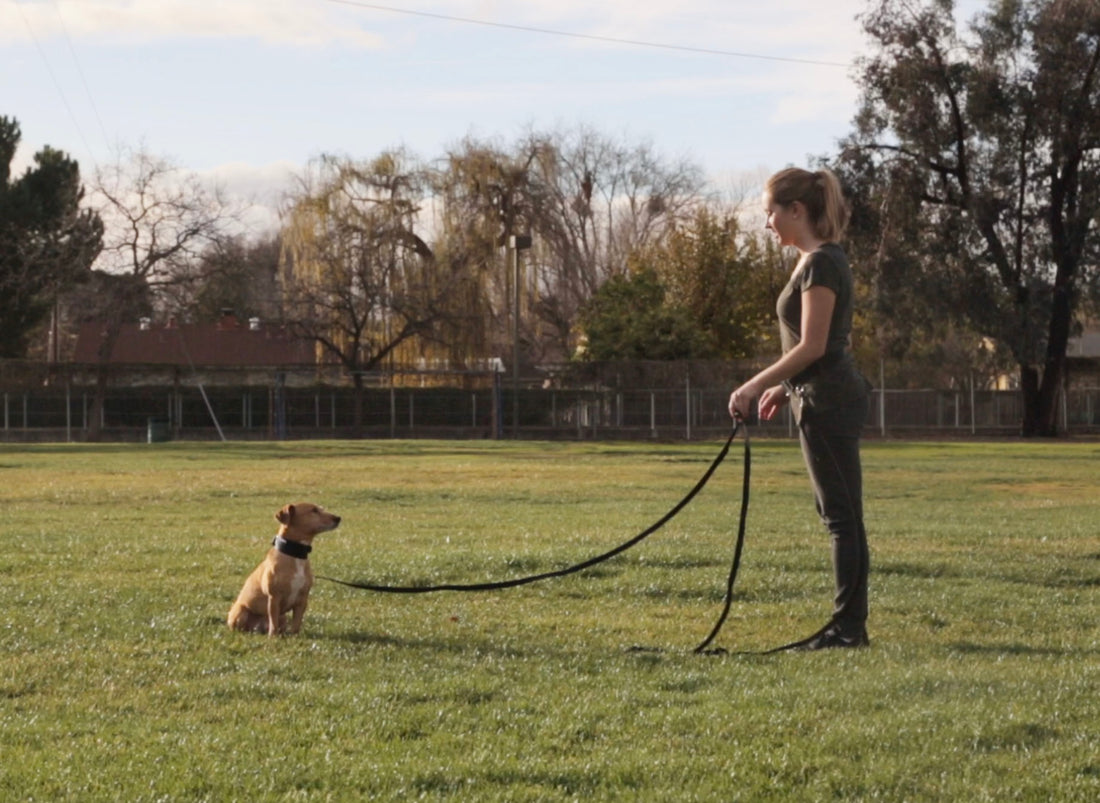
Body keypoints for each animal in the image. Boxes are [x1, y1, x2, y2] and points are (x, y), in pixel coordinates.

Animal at [226, 503, 338, 633]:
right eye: (314, 510)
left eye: (321, 509)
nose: (338, 518)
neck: (295, 555)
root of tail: (257, 628)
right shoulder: (274, 598)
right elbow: (273, 625)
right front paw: (273, 637)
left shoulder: (302, 600)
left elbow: (296, 625)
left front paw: (294, 636)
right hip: (241, 611)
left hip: (283, 617)